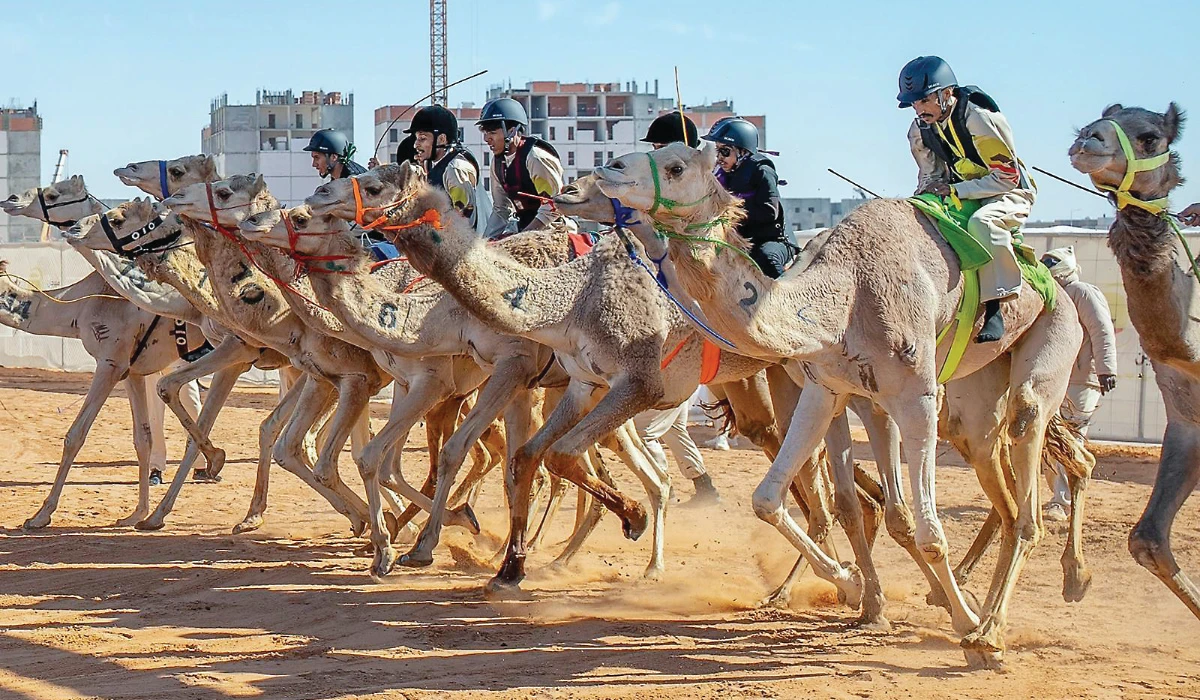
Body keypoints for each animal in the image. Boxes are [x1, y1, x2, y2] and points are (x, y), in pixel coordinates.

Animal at [0, 261, 209, 527]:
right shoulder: (131, 371)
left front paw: (40, 515)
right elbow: (143, 439)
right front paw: (136, 514)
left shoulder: (110, 363)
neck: (82, 307)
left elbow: (75, 435)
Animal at [591, 142, 1084, 665]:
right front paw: (853, 587)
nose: (607, 169)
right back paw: (995, 610)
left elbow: (927, 532)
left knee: (1028, 482)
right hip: (976, 396)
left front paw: (963, 625)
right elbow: (770, 499)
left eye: (676, 165)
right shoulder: (826, 389)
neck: (845, 298)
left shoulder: (914, 395)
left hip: (1050, 343)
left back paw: (996, 626)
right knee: (1004, 494)